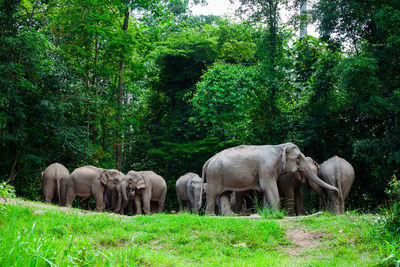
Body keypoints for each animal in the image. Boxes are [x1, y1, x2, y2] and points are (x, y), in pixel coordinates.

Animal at [203, 143, 338, 217]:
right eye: (298, 158)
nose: (336, 190)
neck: (279, 146)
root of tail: (209, 160)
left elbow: (266, 190)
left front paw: (268, 212)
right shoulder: (266, 168)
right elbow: (269, 188)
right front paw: (277, 214)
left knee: (224, 194)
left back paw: (231, 215)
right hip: (214, 175)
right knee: (213, 193)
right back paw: (211, 215)